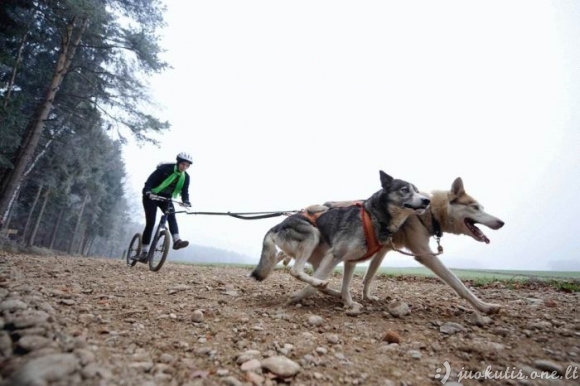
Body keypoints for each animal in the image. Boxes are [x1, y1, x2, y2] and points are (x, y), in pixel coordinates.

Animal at [249, 170, 430, 310]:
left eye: (417, 190)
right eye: (405, 189)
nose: (427, 200)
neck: (373, 216)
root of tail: (278, 225)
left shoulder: (350, 261)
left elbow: (346, 285)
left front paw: (348, 302)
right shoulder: (335, 254)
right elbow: (311, 287)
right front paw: (298, 296)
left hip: (318, 256)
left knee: (286, 260)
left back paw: (332, 291)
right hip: (312, 235)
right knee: (296, 271)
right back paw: (319, 284)